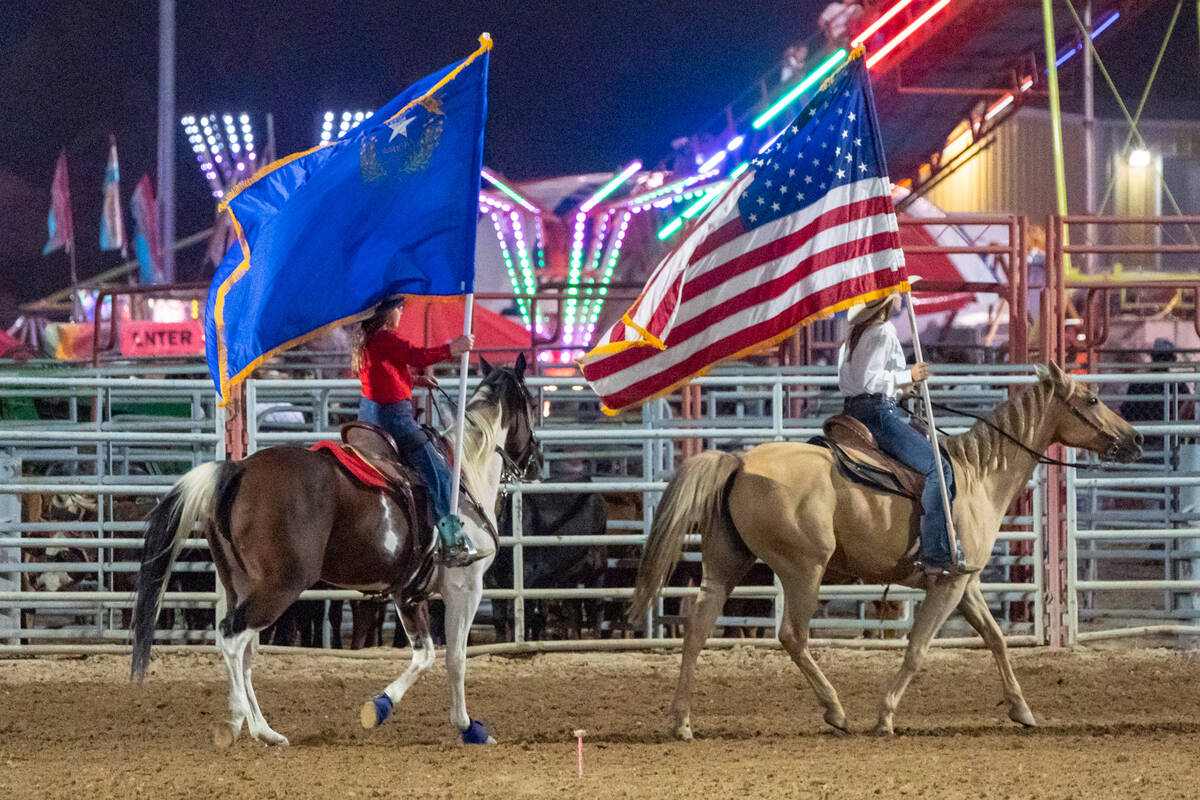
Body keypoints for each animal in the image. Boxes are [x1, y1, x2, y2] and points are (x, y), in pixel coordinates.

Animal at [132, 357, 540, 743]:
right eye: (532, 403)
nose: (533, 462)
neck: (465, 472)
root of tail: (238, 469)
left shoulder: (409, 593)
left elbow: (423, 654)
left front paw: (379, 707)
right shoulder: (465, 587)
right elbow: (455, 658)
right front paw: (467, 726)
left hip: (240, 584)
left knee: (244, 650)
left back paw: (259, 729)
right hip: (280, 586)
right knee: (232, 638)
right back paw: (242, 724)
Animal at [633, 364, 1137, 738]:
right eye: (1092, 399)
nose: (1137, 438)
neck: (976, 476)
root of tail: (739, 462)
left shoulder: (964, 582)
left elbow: (995, 638)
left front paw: (1022, 710)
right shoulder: (948, 585)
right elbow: (918, 647)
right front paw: (885, 716)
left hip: (725, 564)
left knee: (697, 630)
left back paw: (681, 722)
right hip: (803, 570)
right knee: (792, 636)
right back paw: (836, 711)